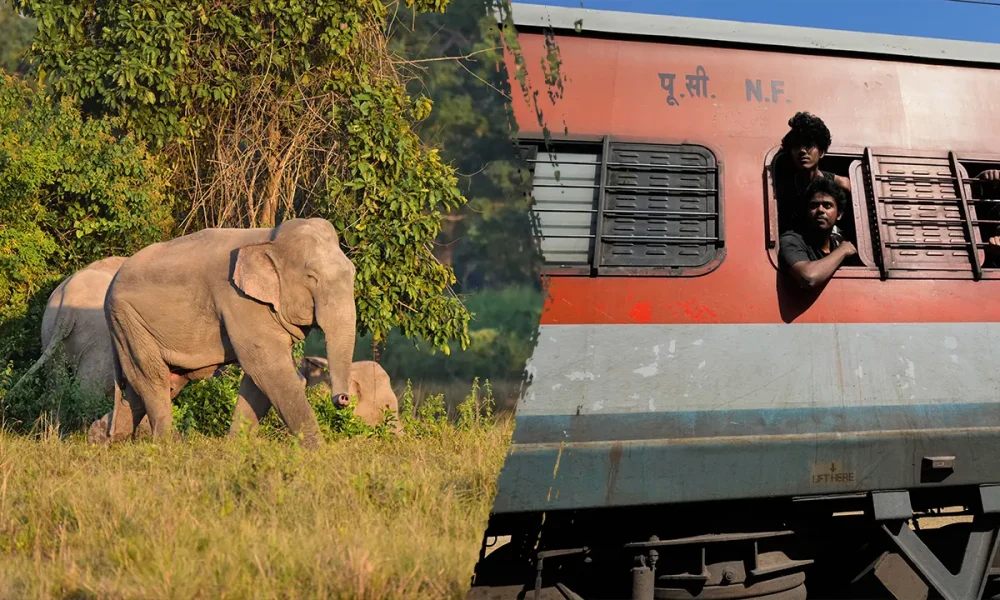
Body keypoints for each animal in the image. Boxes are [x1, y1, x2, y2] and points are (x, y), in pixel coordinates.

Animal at [96, 217, 356, 448]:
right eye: (311, 277)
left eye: (353, 272)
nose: (343, 398)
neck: (269, 239)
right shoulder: (239, 300)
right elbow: (268, 368)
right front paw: (318, 452)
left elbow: (257, 378)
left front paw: (235, 447)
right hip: (128, 320)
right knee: (153, 379)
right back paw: (166, 445)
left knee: (144, 387)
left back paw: (108, 442)